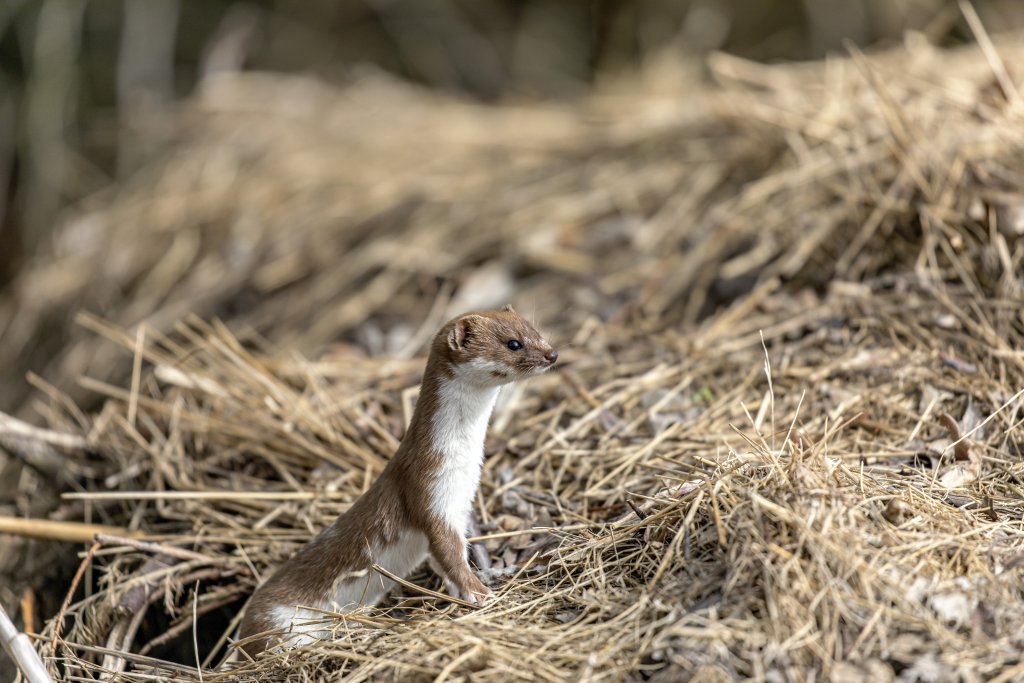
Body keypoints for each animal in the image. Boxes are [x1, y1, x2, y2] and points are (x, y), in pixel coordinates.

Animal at [235, 307, 557, 655]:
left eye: (535, 330)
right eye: (513, 343)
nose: (552, 353)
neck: (462, 464)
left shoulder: (461, 504)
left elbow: (446, 558)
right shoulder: (427, 490)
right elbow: (449, 552)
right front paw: (480, 593)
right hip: (279, 620)